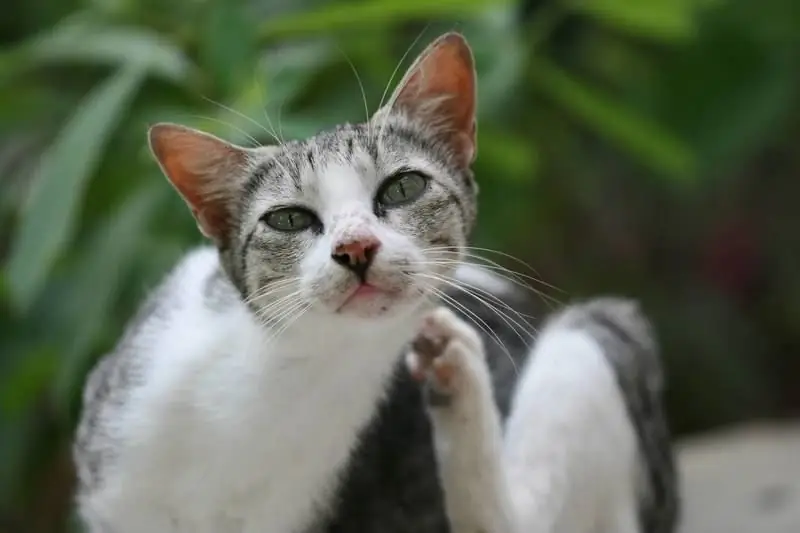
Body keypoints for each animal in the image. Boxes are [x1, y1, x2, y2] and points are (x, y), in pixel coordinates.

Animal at [72, 31, 680, 528]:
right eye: (288, 219)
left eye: (403, 188)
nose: (355, 247)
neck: (286, 375)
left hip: (598, 335)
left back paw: (459, 379)